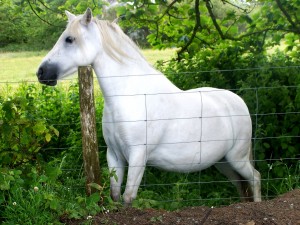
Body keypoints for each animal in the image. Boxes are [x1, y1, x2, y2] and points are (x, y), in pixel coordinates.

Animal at [37, 8, 262, 204]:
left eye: (69, 39)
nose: (41, 73)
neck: (129, 96)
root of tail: (238, 102)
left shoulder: (138, 156)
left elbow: (128, 198)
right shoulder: (114, 155)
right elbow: (115, 196)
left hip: (237, 158)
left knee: (255, 178)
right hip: (223, 162)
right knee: (241, 185)